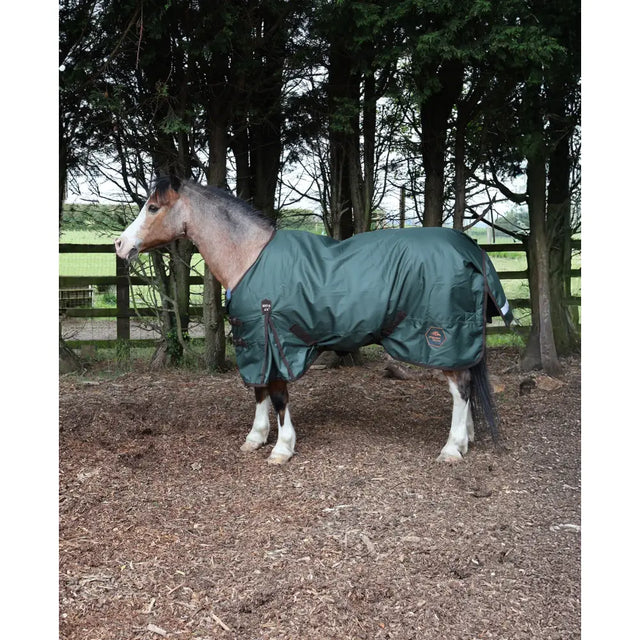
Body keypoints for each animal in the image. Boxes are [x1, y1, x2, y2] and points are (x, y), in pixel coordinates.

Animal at [115, 177, 513, 465]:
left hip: (442, 337)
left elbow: (278, 396)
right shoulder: (256, 343)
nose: (120, 245)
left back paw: (452, 447)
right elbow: (259, 391)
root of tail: (471, 249)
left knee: (460, 387)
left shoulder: (276, 341)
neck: (249, 257)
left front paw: (282, 448)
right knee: (467, 383)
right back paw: (468, 438)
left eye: (152, 207)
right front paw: (255, 438)